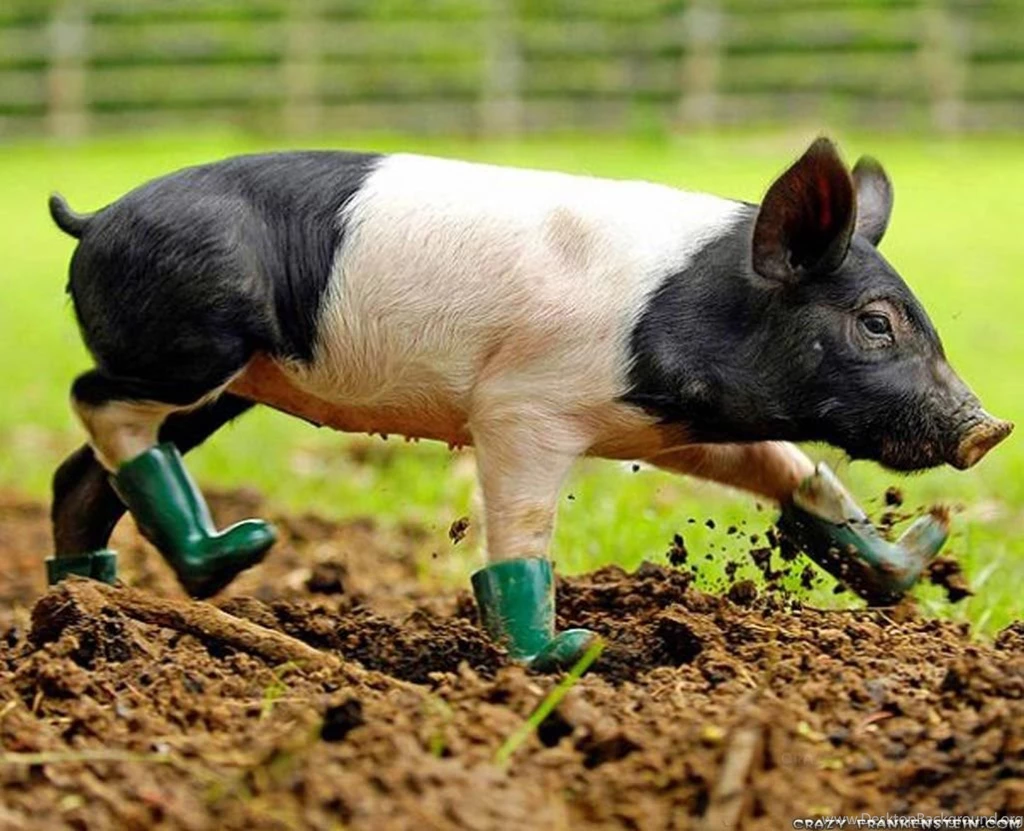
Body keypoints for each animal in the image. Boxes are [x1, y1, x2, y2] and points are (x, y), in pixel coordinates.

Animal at [47, 137, 1011, 670]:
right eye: (876, 322)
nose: (989, 428)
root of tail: (94, 217)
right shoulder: (523, 409)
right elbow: (521, 540)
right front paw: (570, 654)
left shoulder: (673, 425)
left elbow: (791, 469)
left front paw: (919, 552)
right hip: (191, 343)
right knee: (94, 400)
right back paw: (235, 554)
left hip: (227, 382)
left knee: (80, 473)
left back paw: (102, 597)